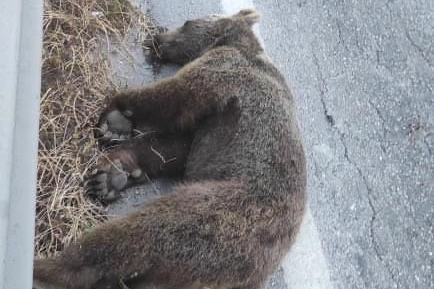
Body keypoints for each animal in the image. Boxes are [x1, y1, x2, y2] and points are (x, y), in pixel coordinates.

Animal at [32, 9, 306, 288]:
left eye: (186, 22)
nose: (158, 37)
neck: (237, 43)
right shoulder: (209, 131)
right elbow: (175, 148)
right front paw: (118, 167)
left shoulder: (226, 72)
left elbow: (172, 98)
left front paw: (116, 117)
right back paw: (109, 181)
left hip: (216, 216)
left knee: (140, 235)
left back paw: (49, 267)